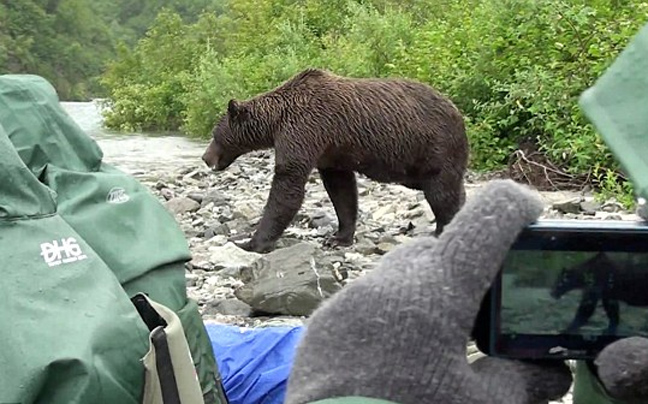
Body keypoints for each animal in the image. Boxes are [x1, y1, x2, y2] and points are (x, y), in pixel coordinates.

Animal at [201, 68, 466, 254]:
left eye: (215, 135)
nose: (205, 157)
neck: (276, 122)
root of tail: (457, 111)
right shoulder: (331, 151)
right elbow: (342, 191)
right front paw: (338, 237)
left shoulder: (305, 130)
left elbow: (287, 184)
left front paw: (252, 242)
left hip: (435, 147)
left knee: (441, 191)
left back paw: (444, 229)